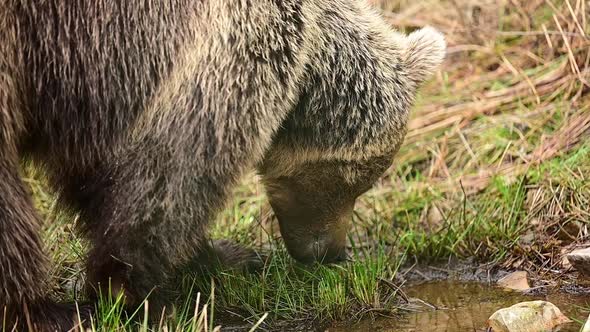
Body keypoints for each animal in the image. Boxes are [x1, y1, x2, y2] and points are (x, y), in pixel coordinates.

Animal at [0, 0, 444, 330]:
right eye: (357, 178)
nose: (330, 252)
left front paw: (222, 257)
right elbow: (173, 174)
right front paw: (137, 294)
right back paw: (45, 311)